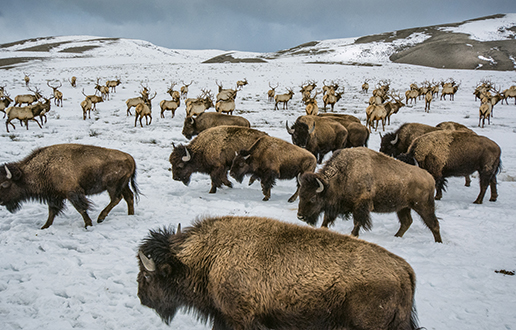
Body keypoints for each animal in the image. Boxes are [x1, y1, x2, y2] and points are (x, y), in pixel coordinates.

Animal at [0, 143, 139, 228]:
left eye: (5, 184)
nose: (0, 201)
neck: (45, 167)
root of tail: (130, 158)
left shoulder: (73, 193)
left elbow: (81, 208)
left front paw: (88, 225)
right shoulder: (54, 196)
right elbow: (51, 212)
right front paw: (44, 227)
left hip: (112, 186)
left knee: (117, 198)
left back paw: (101, 218)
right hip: (123, 185)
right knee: (129, 197)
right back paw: (130, 215)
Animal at [136, 215, 420, 330]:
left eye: (148, 276)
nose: (141, 297)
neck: (210, 258)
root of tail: (404, 270)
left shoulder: (239, 318)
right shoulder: (225, 316)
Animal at [296, 147, 442, 242]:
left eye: (313, 198)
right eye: (301, 195)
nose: (300, 216)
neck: (344, 174)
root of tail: (430, 177)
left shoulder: (361, 206)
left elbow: (357, 222)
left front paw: (353, 235)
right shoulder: (336, 206)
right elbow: (327, 219)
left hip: (423, 206)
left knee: (433, 224)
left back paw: (438, 242)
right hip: (403, 208)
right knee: (406, 222)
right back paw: (396, 237)